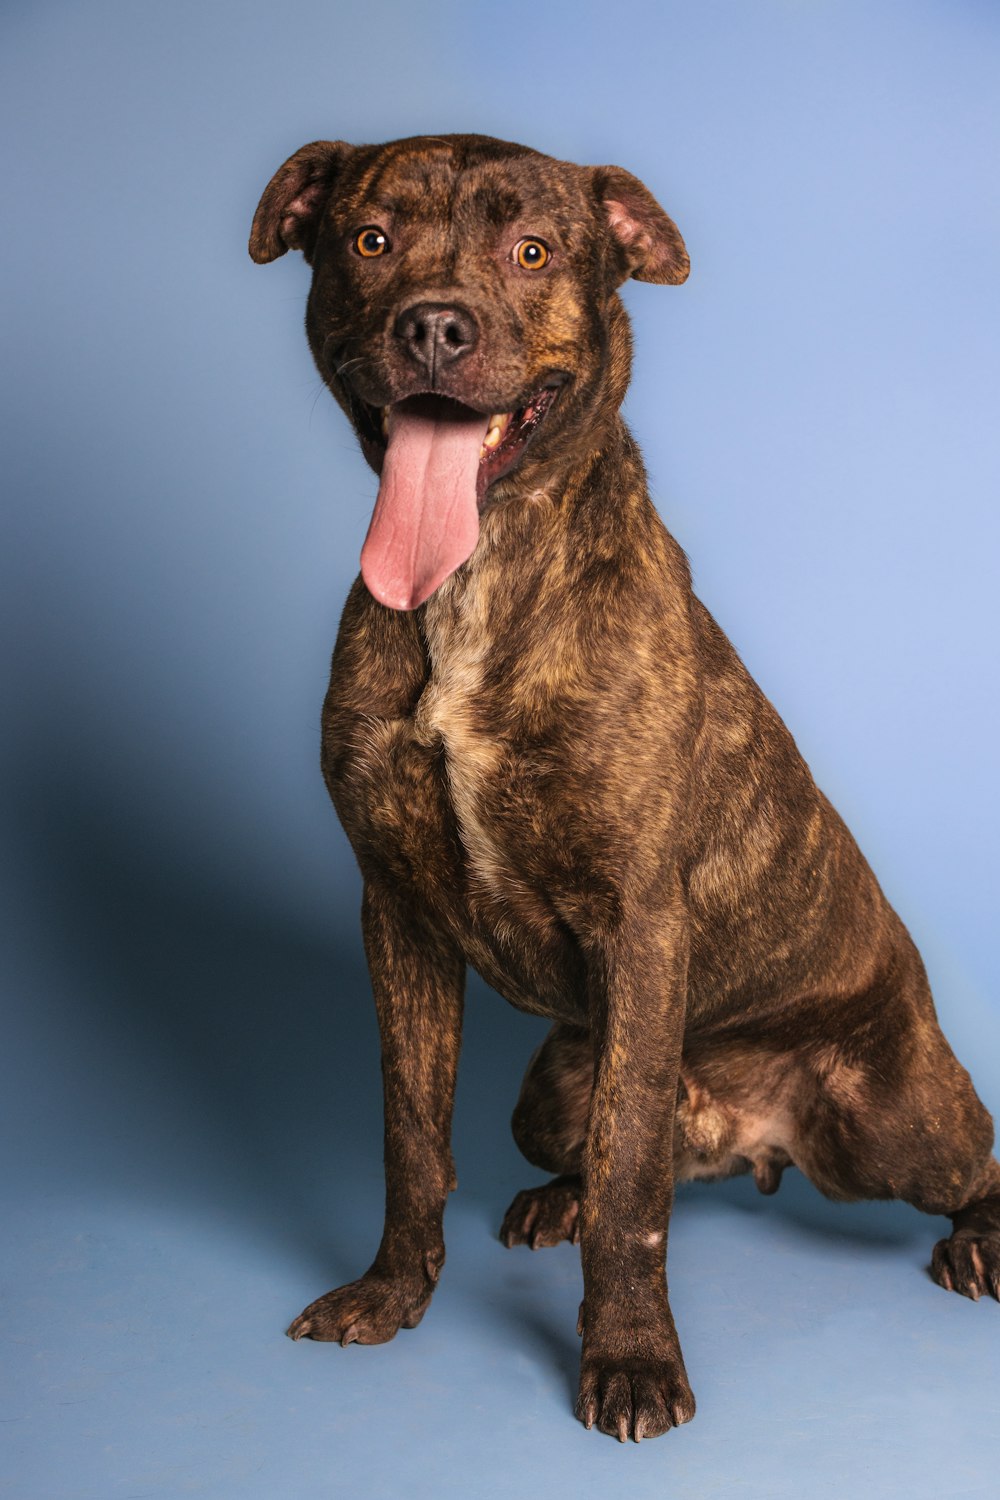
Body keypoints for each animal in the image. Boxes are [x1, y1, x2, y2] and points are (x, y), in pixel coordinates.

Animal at [250, 138, 1000, 1440]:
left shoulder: (640, 926)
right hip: (549, 1084)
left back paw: (980, 1242)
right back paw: (554, 1199)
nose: (434, 326)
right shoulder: (397, 916)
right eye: (370, 240)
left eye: (531, 252)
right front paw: (393, 1295)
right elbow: (413, 1135)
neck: (478, 574)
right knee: (594, 1150)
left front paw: (632, 1358)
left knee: (969, 1164)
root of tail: (750, 1142)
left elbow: (633, 1177)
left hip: (898, 1117)